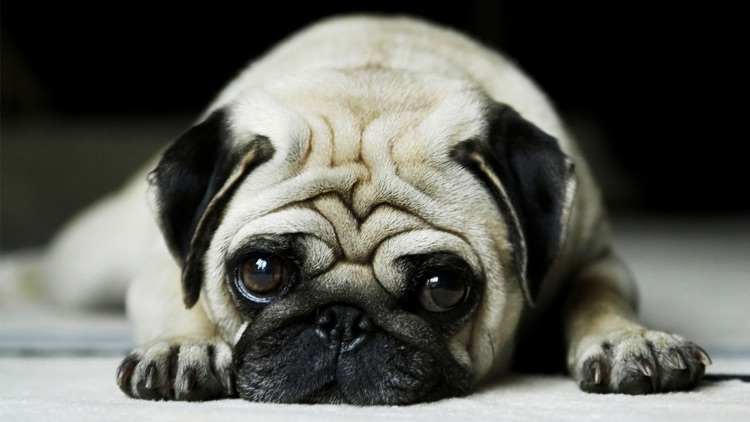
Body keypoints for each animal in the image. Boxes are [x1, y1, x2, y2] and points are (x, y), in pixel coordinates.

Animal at [53, 14, 712, 402]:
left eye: (445, 287)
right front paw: (184, 346)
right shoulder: (162, 271)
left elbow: (597, 293)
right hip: (88, 268)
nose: (342, 319)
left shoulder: (594, 254)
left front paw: (629, 341)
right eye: (260, 273)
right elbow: (182, 296)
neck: (379, 81)